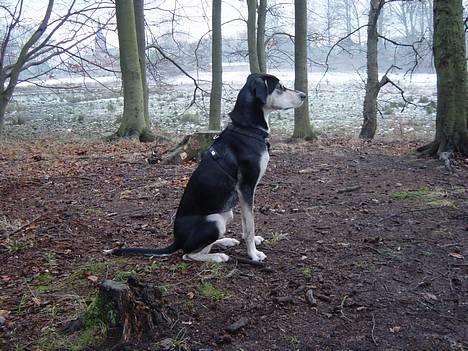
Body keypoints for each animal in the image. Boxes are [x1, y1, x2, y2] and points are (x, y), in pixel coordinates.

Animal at [104, 73, 306, 262]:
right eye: (280, 87)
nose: (304, 95)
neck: (247, 129)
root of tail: (177, 240)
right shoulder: (246, 187)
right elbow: (250, 224)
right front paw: (253, 254)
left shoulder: (242, 194)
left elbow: (245, 223)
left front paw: (252, 241)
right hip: (214, 221)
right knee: (188, 254)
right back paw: (218, 257)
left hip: (226, 213)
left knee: (203, 247)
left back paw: (225, 241)